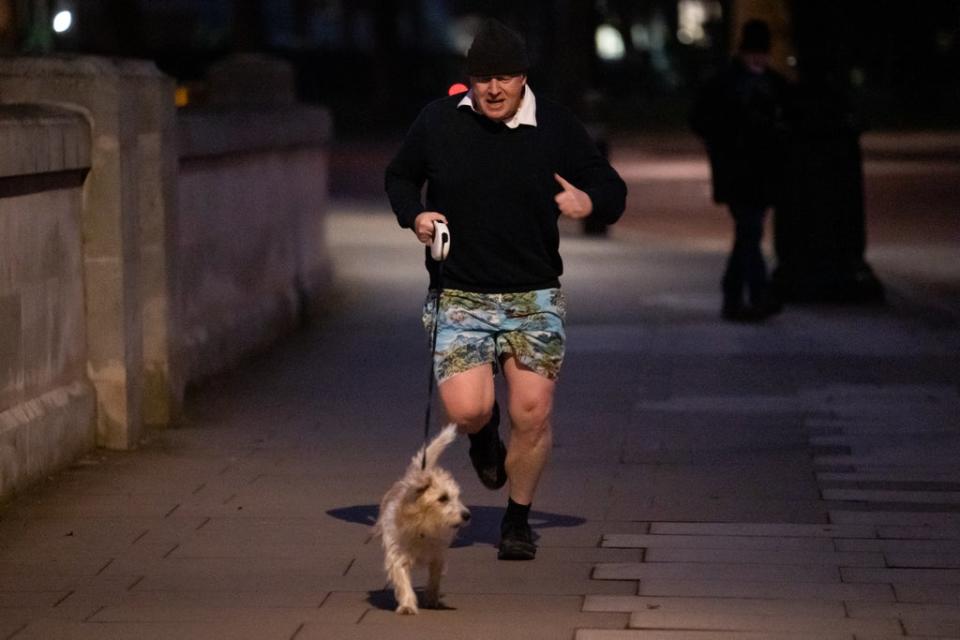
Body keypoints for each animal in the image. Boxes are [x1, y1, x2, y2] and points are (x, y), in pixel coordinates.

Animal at [374, 424, 470, 616]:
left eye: (457, 497)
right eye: (443, 498)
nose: (467, 515)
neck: (423, 526)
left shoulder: (437, 555)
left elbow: (434, 579)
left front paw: (432, 599)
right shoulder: (398, 555)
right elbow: (403, 581)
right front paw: (407, 605)